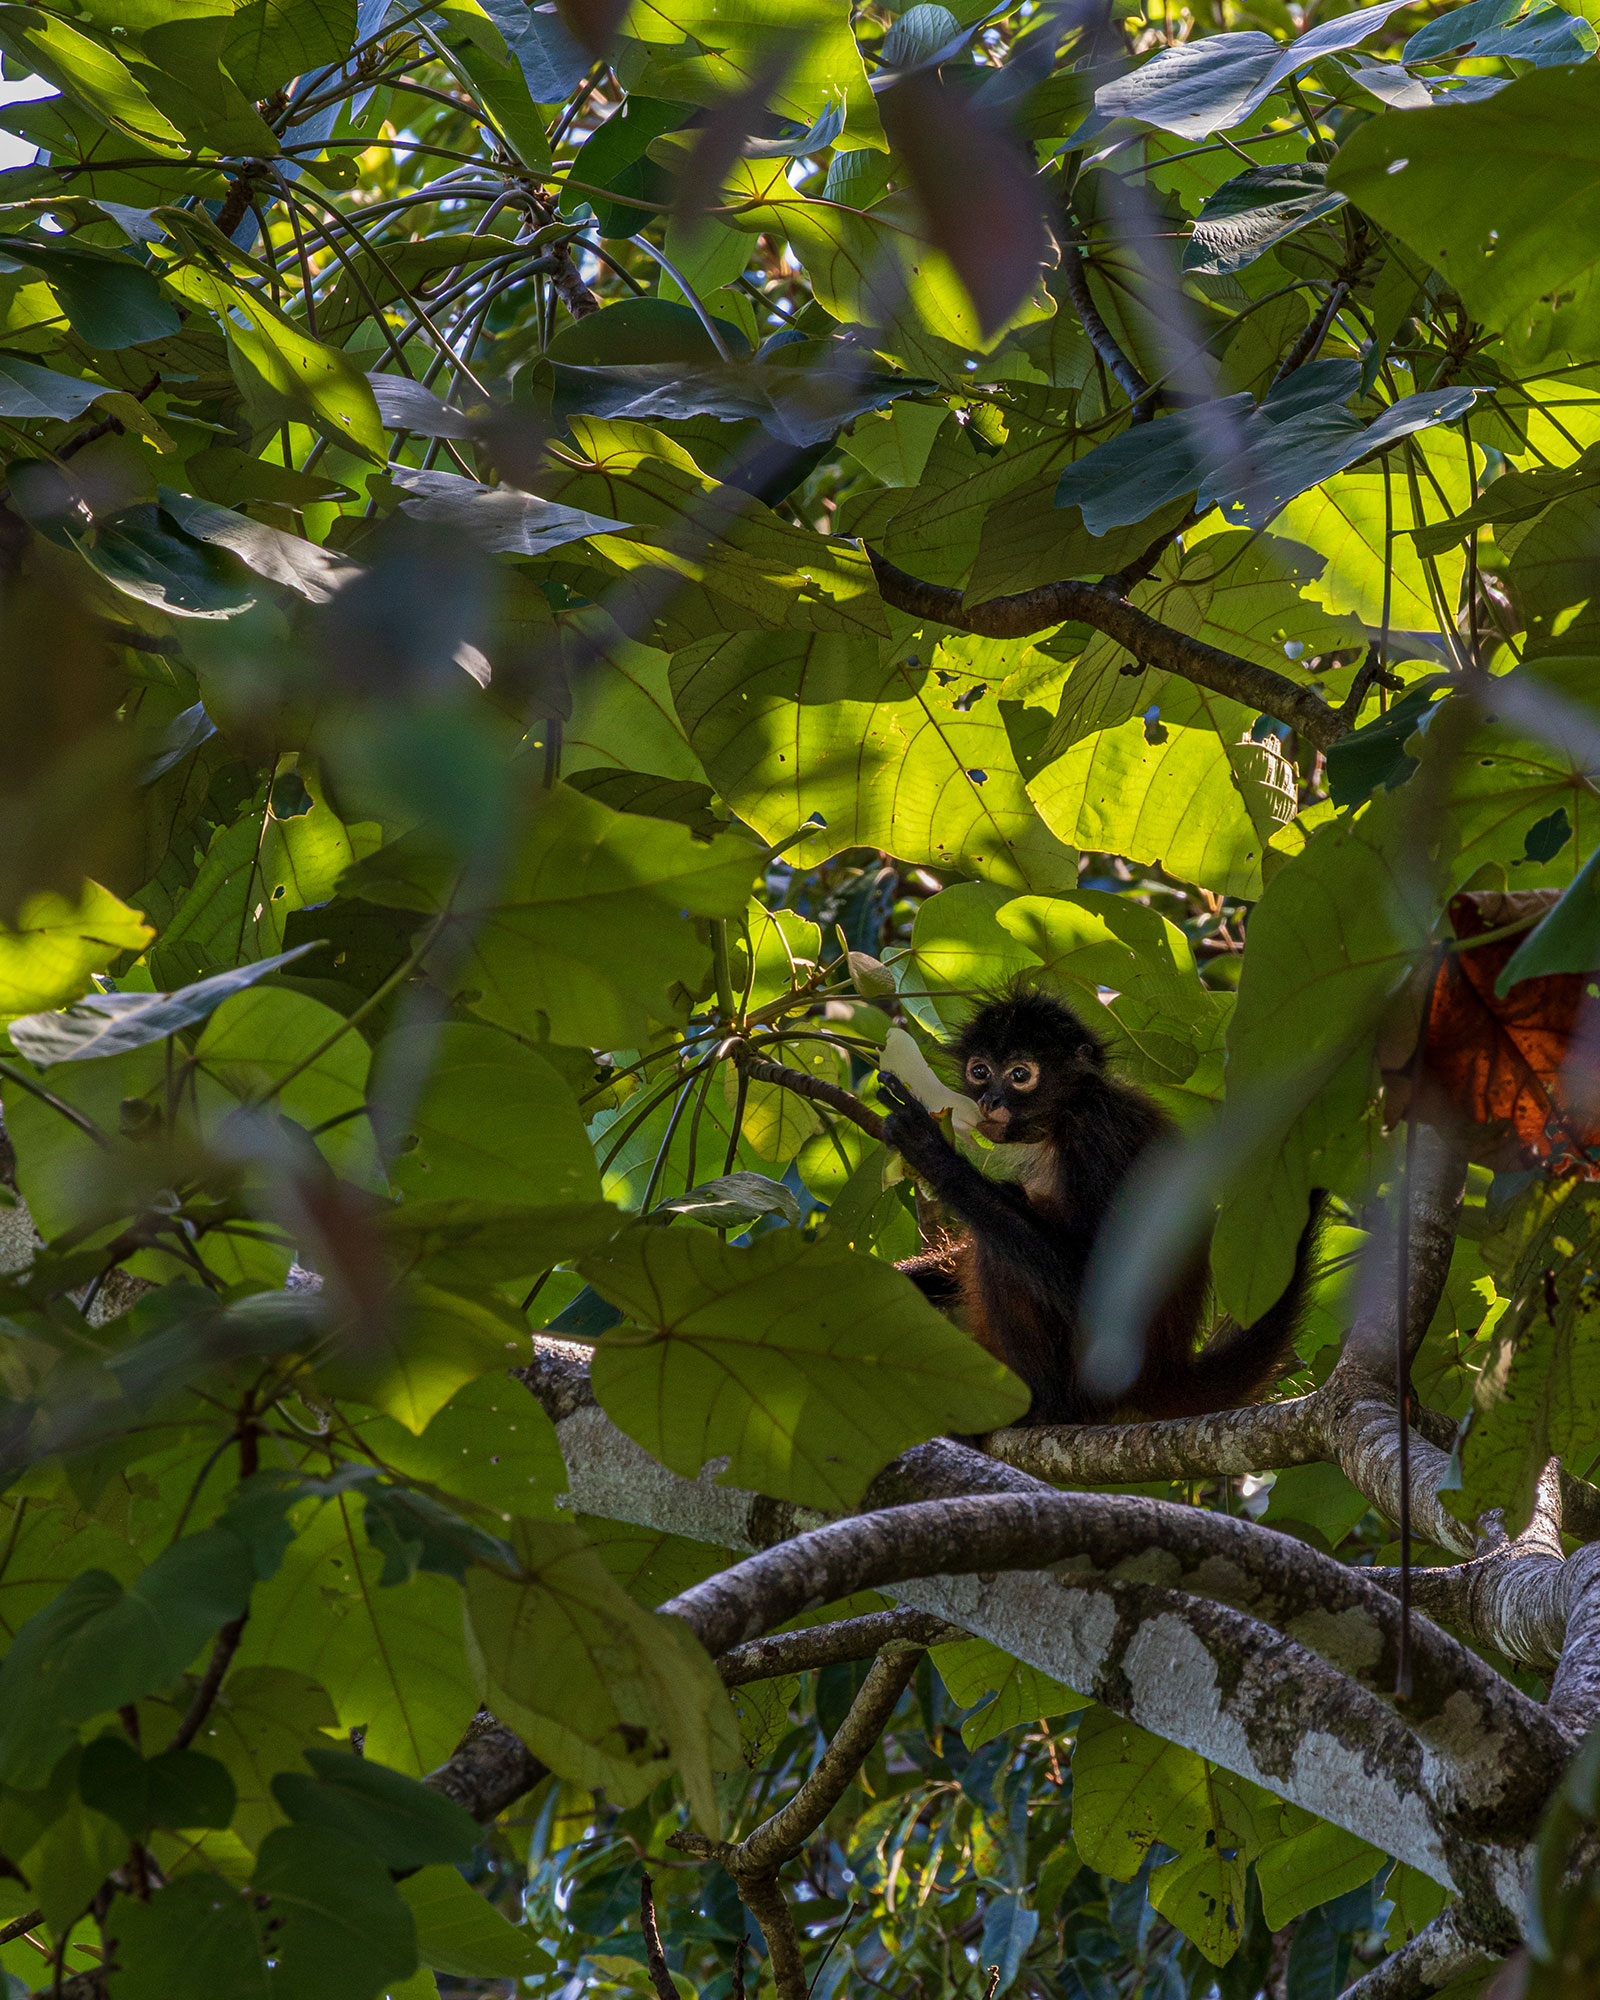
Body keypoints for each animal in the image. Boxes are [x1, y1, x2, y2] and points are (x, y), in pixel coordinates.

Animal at [878, 981, 1324, 1427]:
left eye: (1020, 1075)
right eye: (980, 1071)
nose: (989, 1100)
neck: (1069, 1112)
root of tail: (1165, 1371)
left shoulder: (1096, 1134)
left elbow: (1091, 1291)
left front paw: (928, 1148)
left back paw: (1043, 1408)